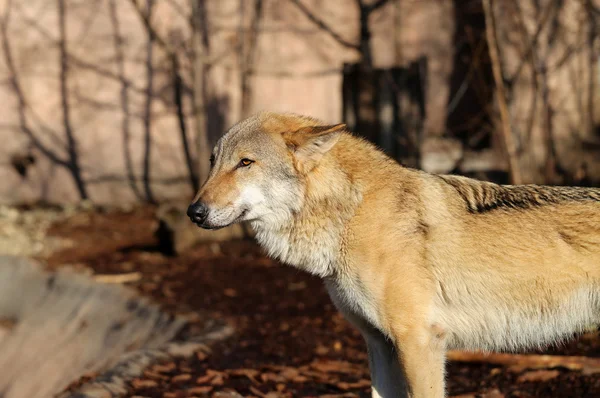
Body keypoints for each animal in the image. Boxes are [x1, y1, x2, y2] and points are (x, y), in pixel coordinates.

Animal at [189, 111, 600, 398]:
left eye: (245, 163)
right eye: (212, 161)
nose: (194, 212)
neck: (351, 214)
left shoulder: (419, 341)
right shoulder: (379, 344)